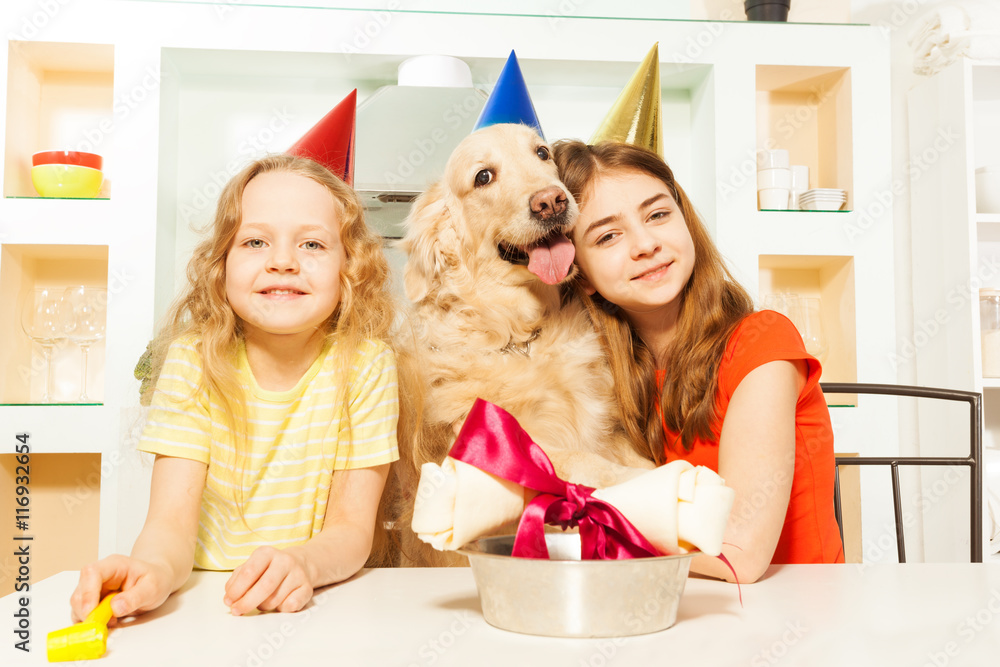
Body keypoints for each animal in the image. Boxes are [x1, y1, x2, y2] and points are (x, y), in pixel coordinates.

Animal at [390, 124, 656, 564]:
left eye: (542, 153)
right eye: (483, 176)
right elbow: (580, 461)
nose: (551, 202)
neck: (520, 336)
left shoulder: (604, 429)